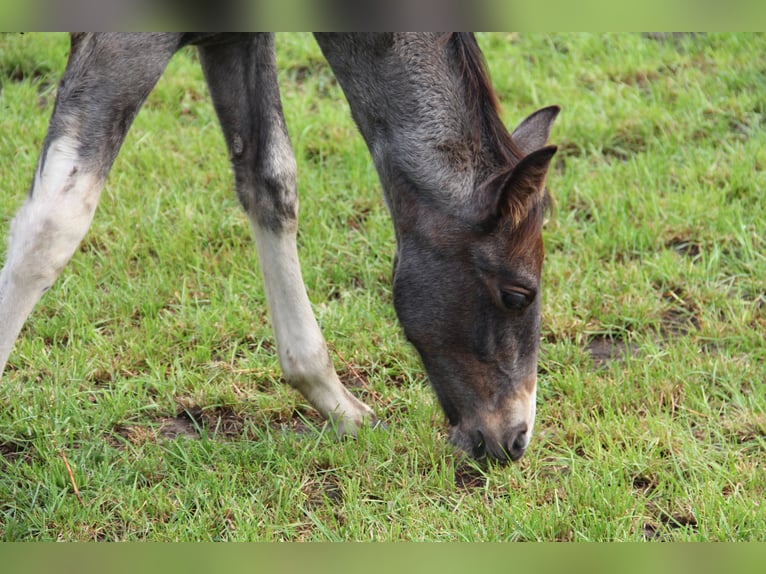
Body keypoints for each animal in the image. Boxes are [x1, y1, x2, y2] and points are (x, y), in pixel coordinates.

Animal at [0, 32, 560, 464]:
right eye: (518, 294)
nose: (515, 439)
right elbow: (53, 225)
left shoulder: (234, 40)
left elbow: (270, 180)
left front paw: (341, 408)